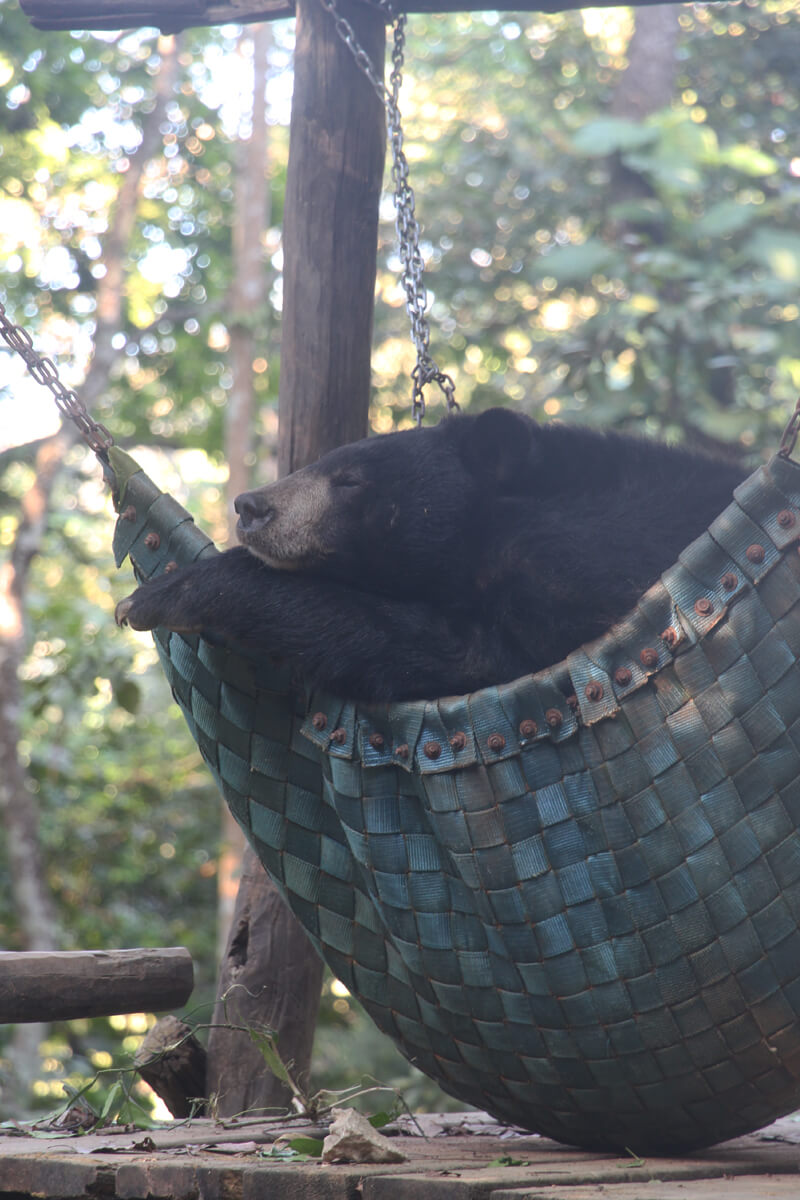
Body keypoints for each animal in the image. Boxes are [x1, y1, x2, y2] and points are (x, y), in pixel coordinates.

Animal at [115, 407, 745, 702]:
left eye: (350, 481)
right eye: (318, 462)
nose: (251, 507)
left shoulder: (578, 568)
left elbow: (464, 655)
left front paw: (164, 595)